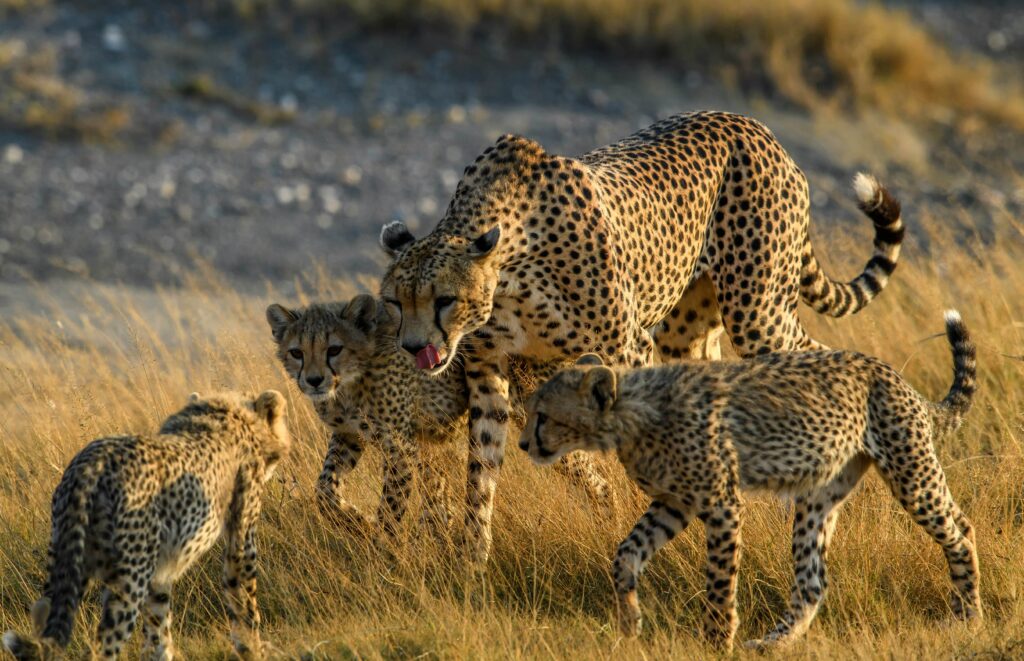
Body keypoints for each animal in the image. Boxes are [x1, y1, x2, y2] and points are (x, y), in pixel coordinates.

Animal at [4, 390, 292, 658]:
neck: (226, 412)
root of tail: (90, 462)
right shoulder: (241, 543)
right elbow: (244, 604)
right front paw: (252, 649)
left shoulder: (160, 570)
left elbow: (157, 630)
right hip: (128, 580)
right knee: (101, 647)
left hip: (67, 561)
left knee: (44, 615)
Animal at [378, 111, 905, 560]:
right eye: (394, 302)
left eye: (444, 299)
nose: (413, 347)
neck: (510, 268)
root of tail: (751, 124)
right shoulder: (495, 369)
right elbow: (481, 468)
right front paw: (473, 559)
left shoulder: (628, 348)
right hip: (689, 330)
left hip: (759, 313)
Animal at [524, 315, 978, 650]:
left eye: (543, 415)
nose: (525, 443)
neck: (633, 413)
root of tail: (890, 372)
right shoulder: (674, 503)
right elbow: (625, 553)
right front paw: (629, 623)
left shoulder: (721, 503)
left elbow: (719, 582)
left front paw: (716, 642)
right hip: (820, 494)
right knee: (812, 580)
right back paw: (773, 643)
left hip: (910, 472)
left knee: (960, 531)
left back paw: (968, 616)